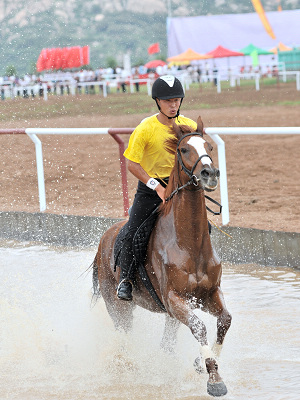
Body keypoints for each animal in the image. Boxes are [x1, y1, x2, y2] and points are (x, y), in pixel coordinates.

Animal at [93, 116, 232, 396]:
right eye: (184, 149)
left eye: (209, 147)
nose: (210, 174)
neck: (189, 244)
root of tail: (104, 239)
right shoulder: (173, 299)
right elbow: (199, 326)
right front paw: (214, 379)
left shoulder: (209, 293)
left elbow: (224, 321)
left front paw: (201, 362)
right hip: (117, 305)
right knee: (124, 336)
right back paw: (127, 366)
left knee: (166, 344)